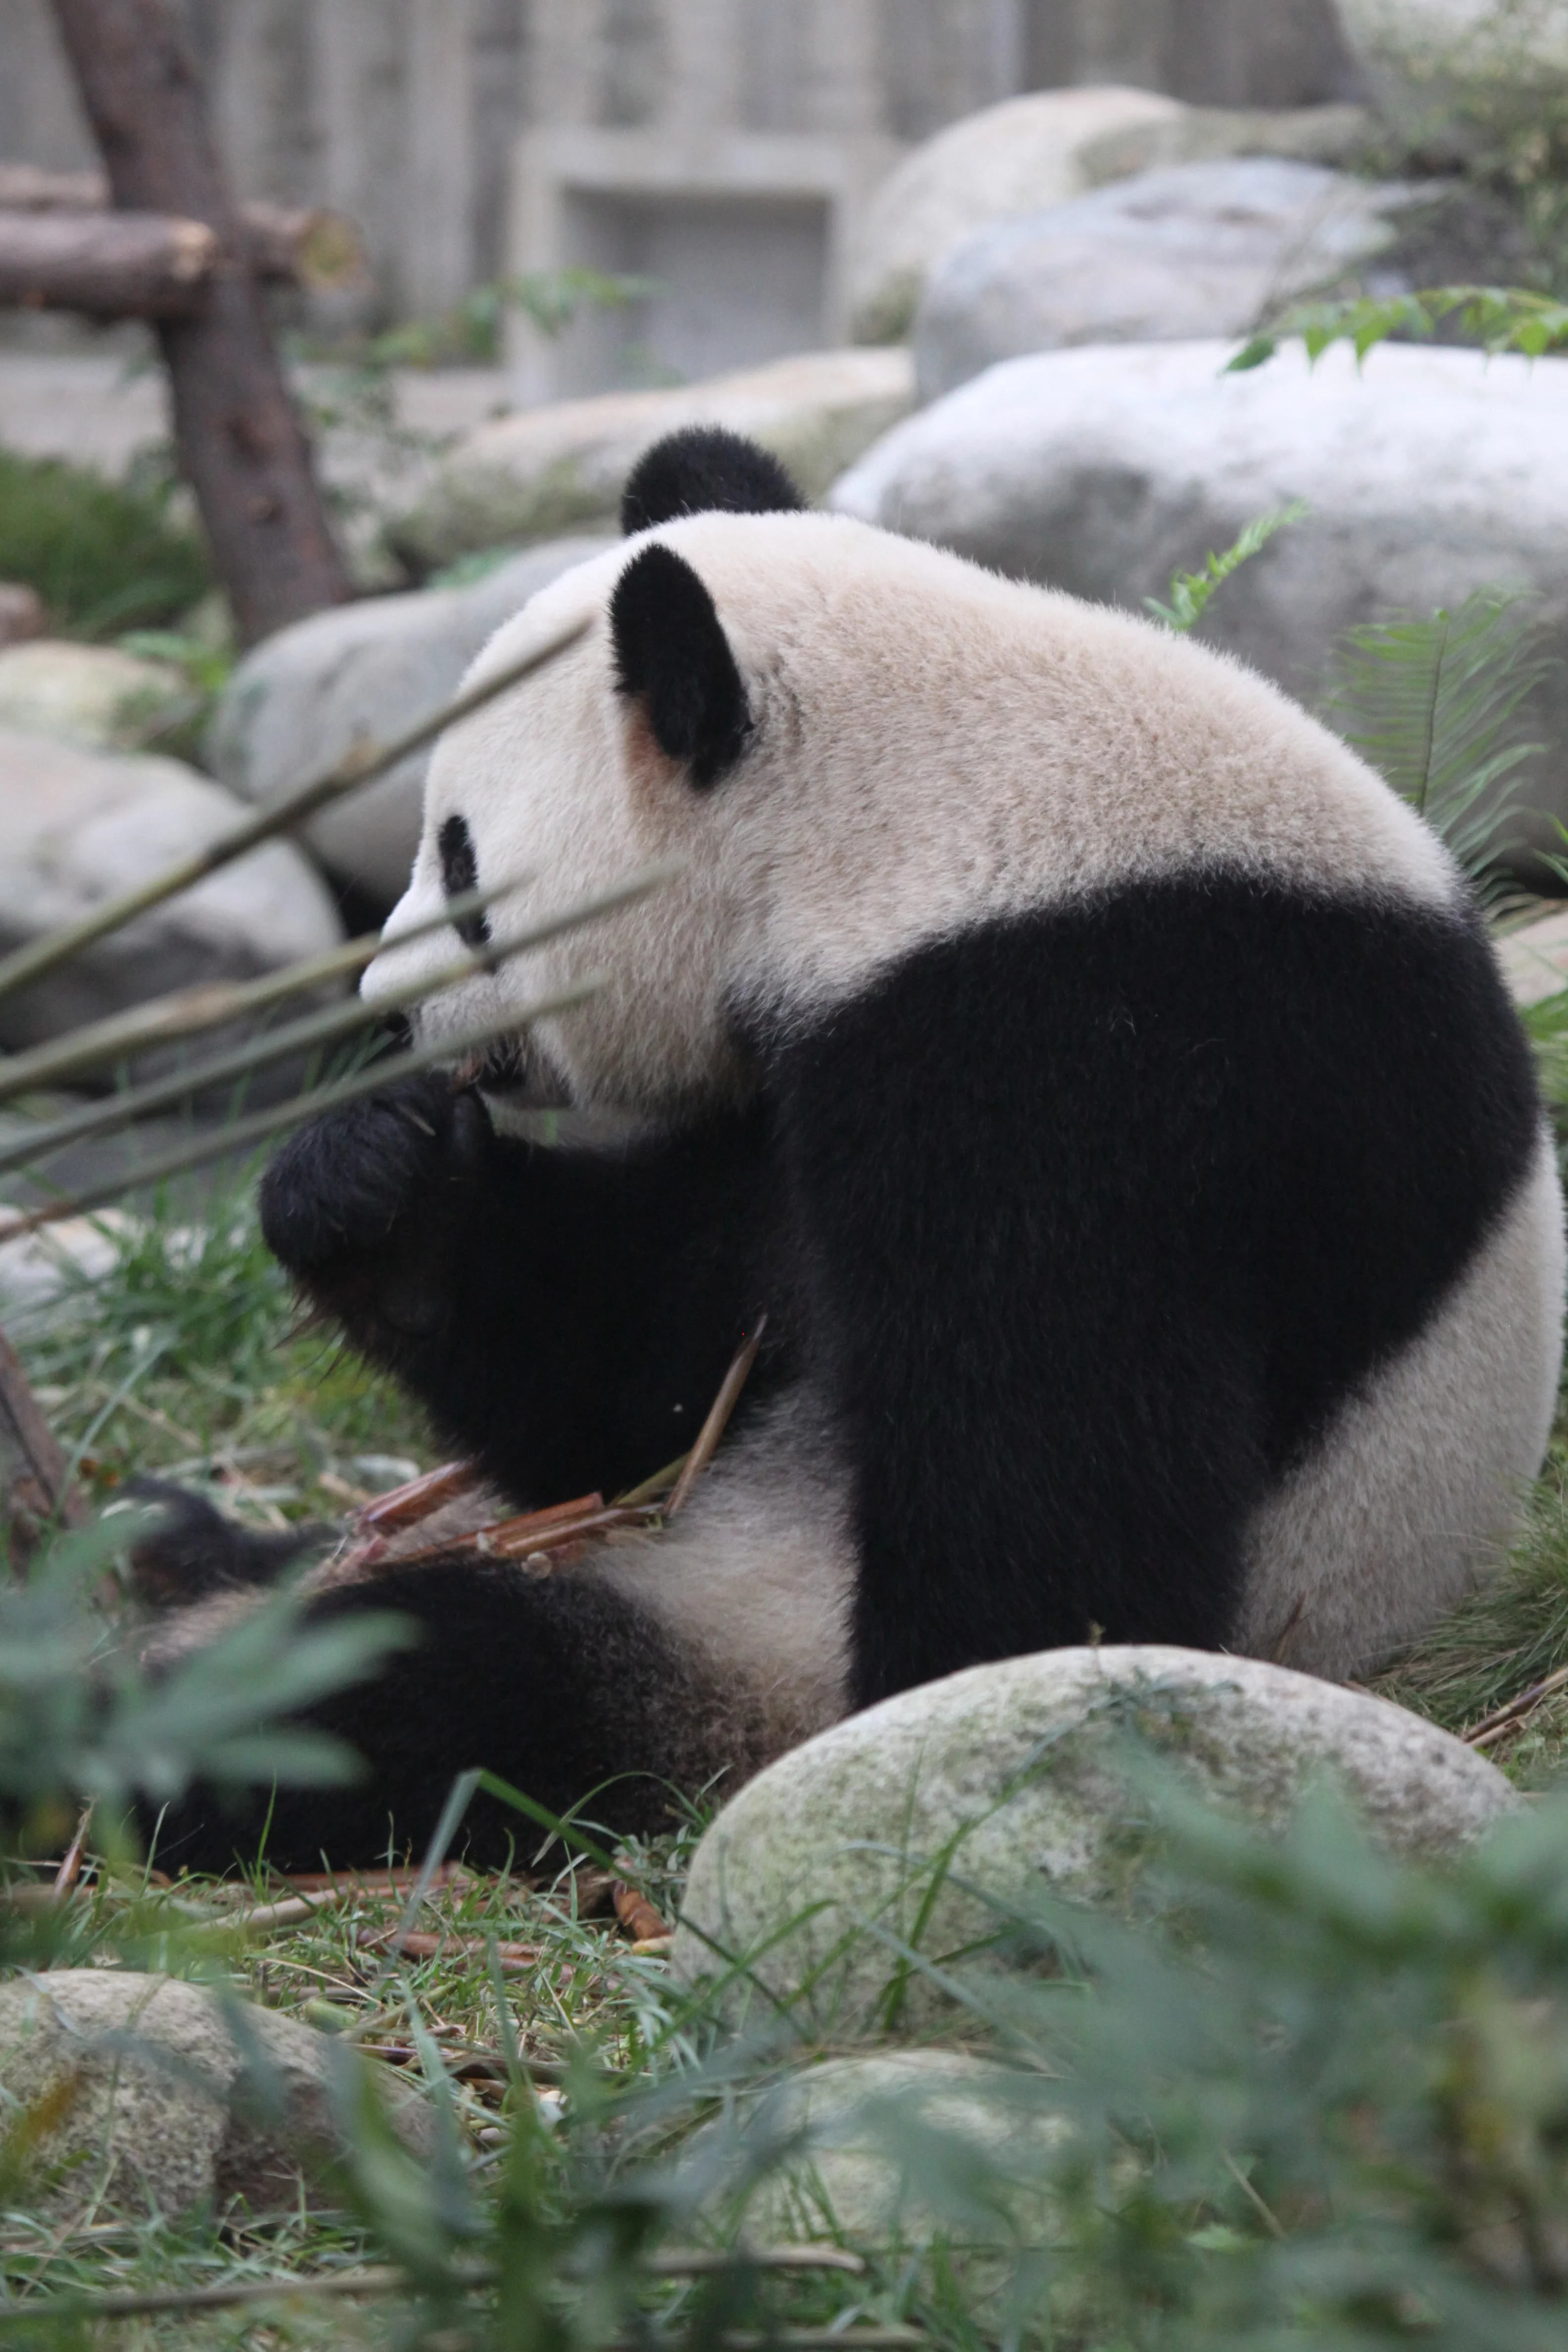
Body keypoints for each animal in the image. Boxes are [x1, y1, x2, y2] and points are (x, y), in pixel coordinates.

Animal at [145, 426, 1565, 1873]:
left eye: (468, 872)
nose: (389, 1008)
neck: (918, 808)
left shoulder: (1094, 1049)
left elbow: (1062, 1502)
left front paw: (964, 1699)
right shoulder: (797, 1099)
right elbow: (643, 1370)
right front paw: (366, 1184)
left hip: (769, 1630)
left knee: (443, 1691)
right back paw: (166, 1556)